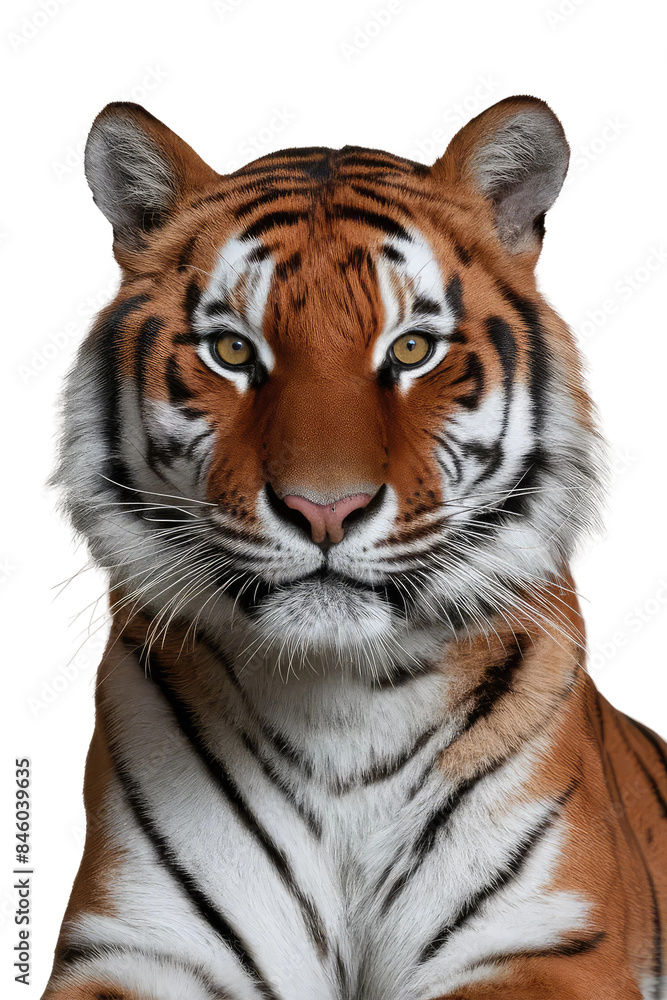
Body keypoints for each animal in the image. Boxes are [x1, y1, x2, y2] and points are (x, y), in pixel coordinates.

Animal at [41, 95, 666, 1000]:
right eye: (232, 350)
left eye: (411, 348)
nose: (324, 508)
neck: (340, 708)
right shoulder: (139, 945)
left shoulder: (550, 944)